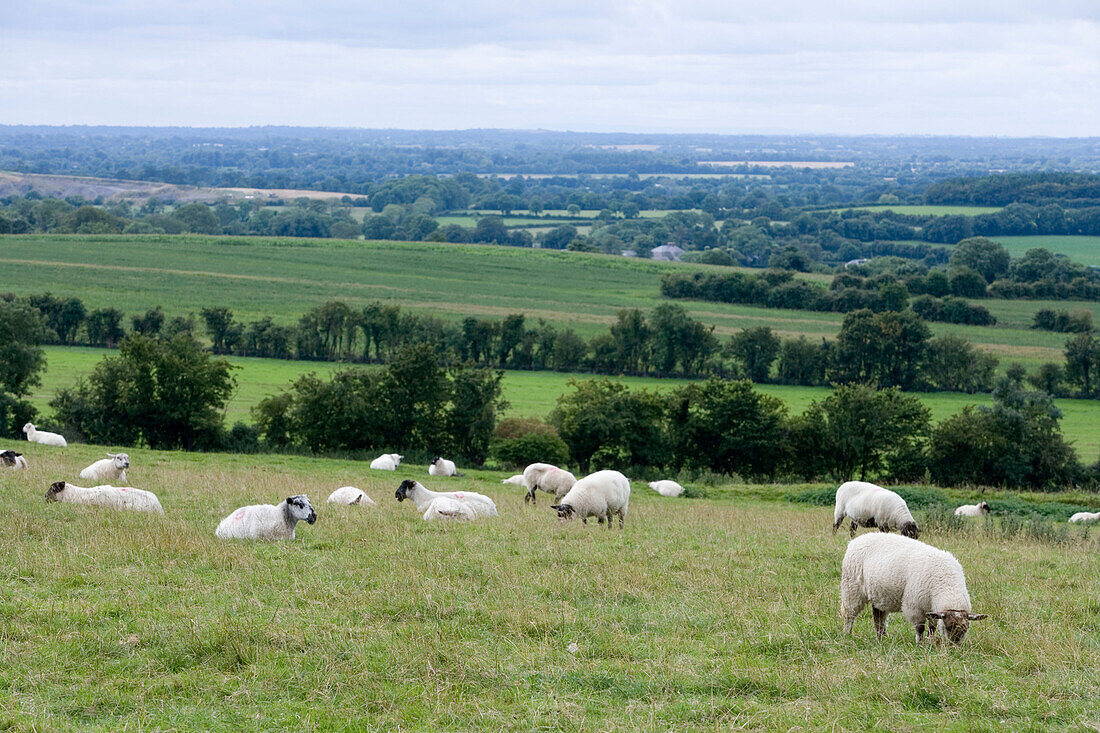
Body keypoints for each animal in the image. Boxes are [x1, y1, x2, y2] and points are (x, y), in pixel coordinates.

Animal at [840, 530, 990, 638]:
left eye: (966, 629)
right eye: (949, 627)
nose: (954, 647)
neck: (947, 583)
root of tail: (854, 541)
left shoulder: (931, 607)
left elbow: (932, 627)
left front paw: (930, 641)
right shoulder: (914, 606)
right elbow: (920, 628)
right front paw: (920, 644)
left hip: (878, 593)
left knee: (878, 617)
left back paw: (881, 638)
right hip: (851, 588)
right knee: (849, 614)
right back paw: (847, 634)